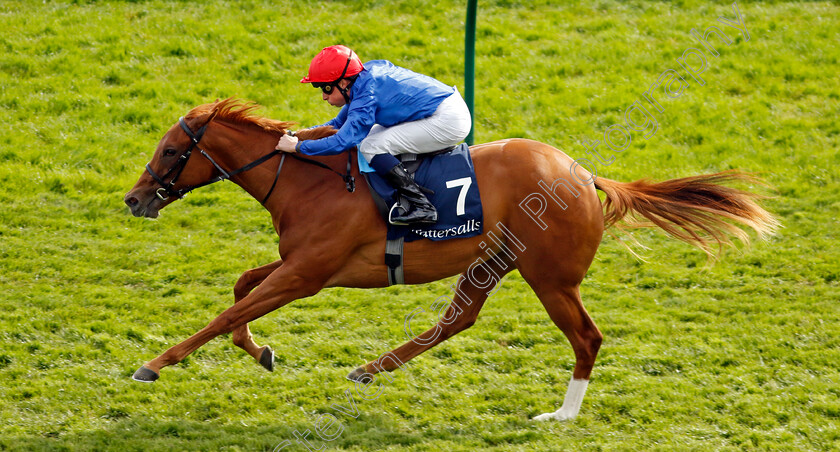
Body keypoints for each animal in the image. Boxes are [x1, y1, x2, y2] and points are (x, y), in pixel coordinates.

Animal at [123, 98, 776, 420]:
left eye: (173, 151)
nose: (134, 199)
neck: (310, 180)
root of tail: (584, 174)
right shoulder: (300, 266)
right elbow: (239, 291)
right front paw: (261, 352)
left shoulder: (308, 274)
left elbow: (226, 313)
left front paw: (154, 364)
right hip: (493, 261)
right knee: (458, 319)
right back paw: (370, 369)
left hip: (551, 277)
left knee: (586, 338)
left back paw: (562, 416)